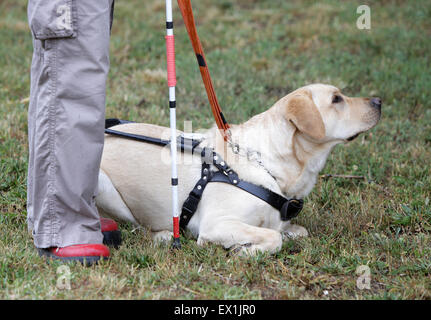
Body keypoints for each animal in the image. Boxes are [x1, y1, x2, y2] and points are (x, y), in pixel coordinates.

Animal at [97, 84, 382, 255]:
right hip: (104, 187)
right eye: (336, 99)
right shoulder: (216, 224)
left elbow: (293, 231)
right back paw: (163, 235)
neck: (268, 165)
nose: (379, 100)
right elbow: (273, 237)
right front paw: (244, 250)